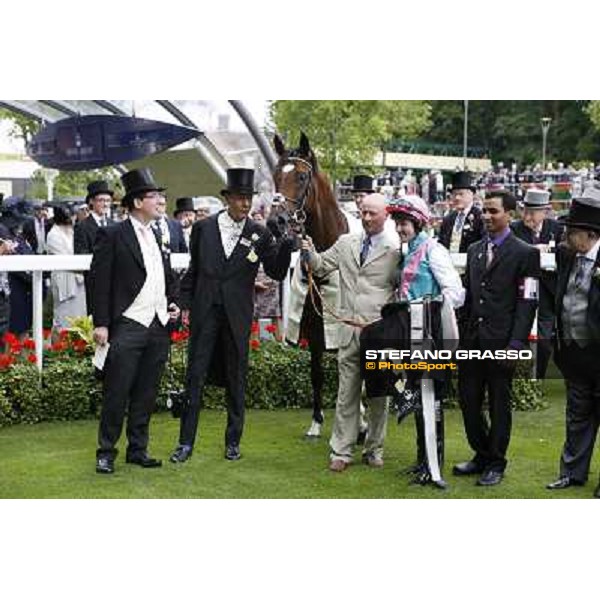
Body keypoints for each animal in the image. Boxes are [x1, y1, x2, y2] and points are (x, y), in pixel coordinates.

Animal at [272, 132, 360, 436]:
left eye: (301, 176)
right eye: (276, 174)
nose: (276, 221)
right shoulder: (313, 328)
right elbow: (317, 373)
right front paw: (316, 422)